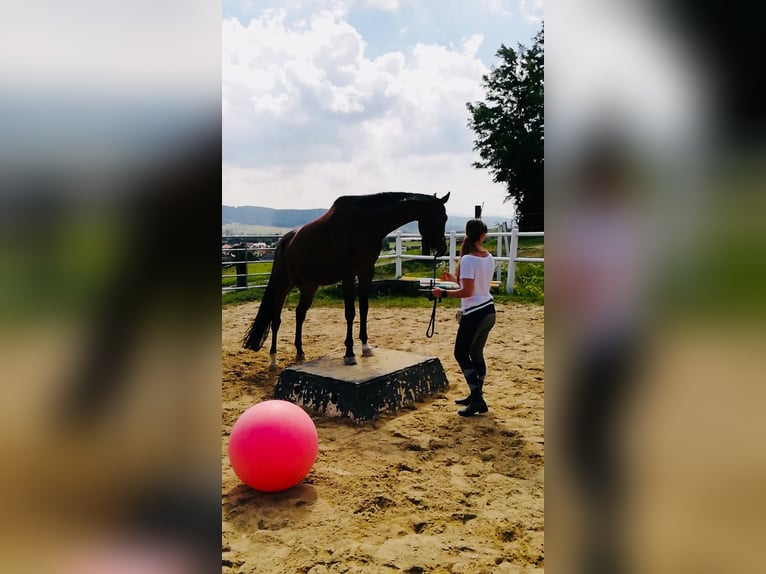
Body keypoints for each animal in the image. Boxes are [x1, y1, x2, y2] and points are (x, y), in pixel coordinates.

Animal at [243, 192, 450, 369]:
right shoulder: (348, 275)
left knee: (299, 313)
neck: (365, 224)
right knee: (276, 319)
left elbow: (364, 308)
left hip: (309, 286)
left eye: (446, 219)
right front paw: (349, 353)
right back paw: (273, 360)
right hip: (283, 284)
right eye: (440, 218)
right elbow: (350, 312)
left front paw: (366, 347)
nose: (442, 249)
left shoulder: (367, 272)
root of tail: (285, 241)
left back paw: (300, 352)